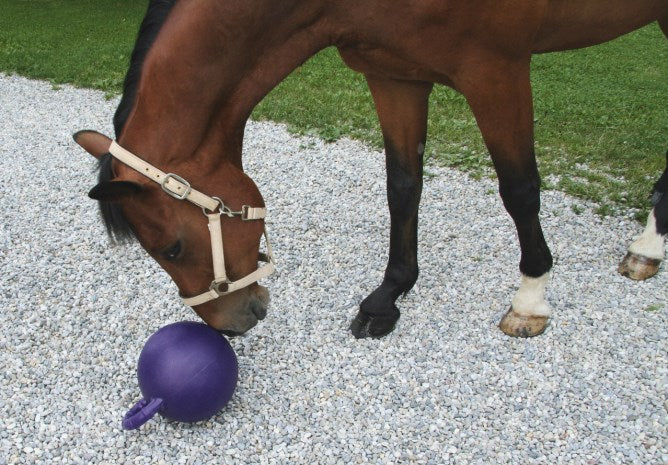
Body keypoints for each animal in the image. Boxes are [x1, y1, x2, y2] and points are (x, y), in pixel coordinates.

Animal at [73, 0, 668, 338]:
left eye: (173, 248)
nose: (230, 326)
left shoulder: (496, 69)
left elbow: (519, 188)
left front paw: (531, 299)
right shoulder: (394, 74)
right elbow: (402, 185)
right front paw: (389, 296)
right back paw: (649, 244)